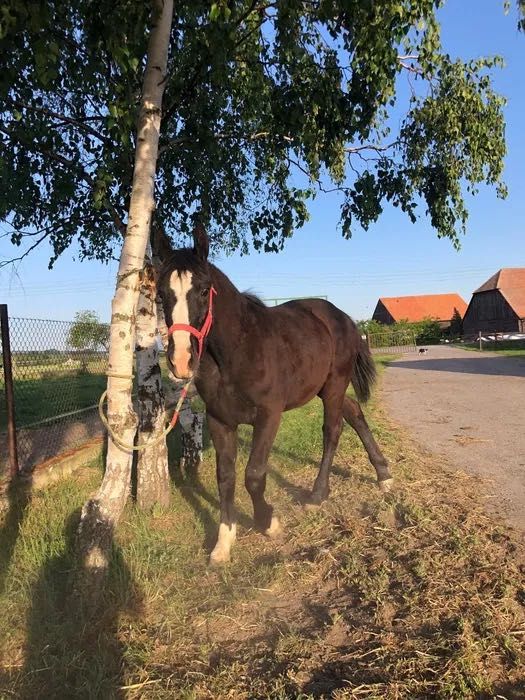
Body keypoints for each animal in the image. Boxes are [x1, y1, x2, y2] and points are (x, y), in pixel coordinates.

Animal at [156, 227, 392, 568]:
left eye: (203, 290)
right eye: (162, 294)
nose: (181, 361)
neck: (237, 352)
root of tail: (344, 318)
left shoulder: (269, 415)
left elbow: (253, 475)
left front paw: (268, 522)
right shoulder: (219, 420)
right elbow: (225, 477)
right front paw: (224, 542)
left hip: (334, 385)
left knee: (332, 431)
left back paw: (317, 496)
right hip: (324, 388)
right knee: (355, 413)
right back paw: (384, 475)